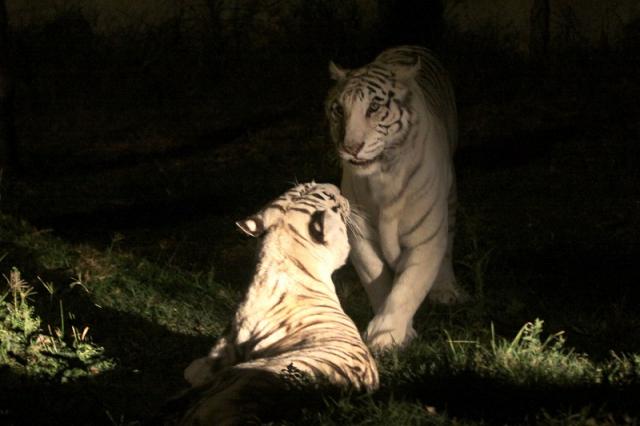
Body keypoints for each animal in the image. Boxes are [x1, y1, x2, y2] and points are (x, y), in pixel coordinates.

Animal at [175, 182, 379, 425]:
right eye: (329, 196)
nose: (337, 187)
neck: (282, 252)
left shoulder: (233, 332)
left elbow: (214, 356)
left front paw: (194, 370)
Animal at [325, 45, 466, 350]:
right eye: (339, 110)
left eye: (374, 108)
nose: (351, 147)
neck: (382, 176)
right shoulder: (360, 237)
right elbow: (378, 282)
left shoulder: (425, 236)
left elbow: (407, 287)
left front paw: (385, 336)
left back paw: (446, 289)